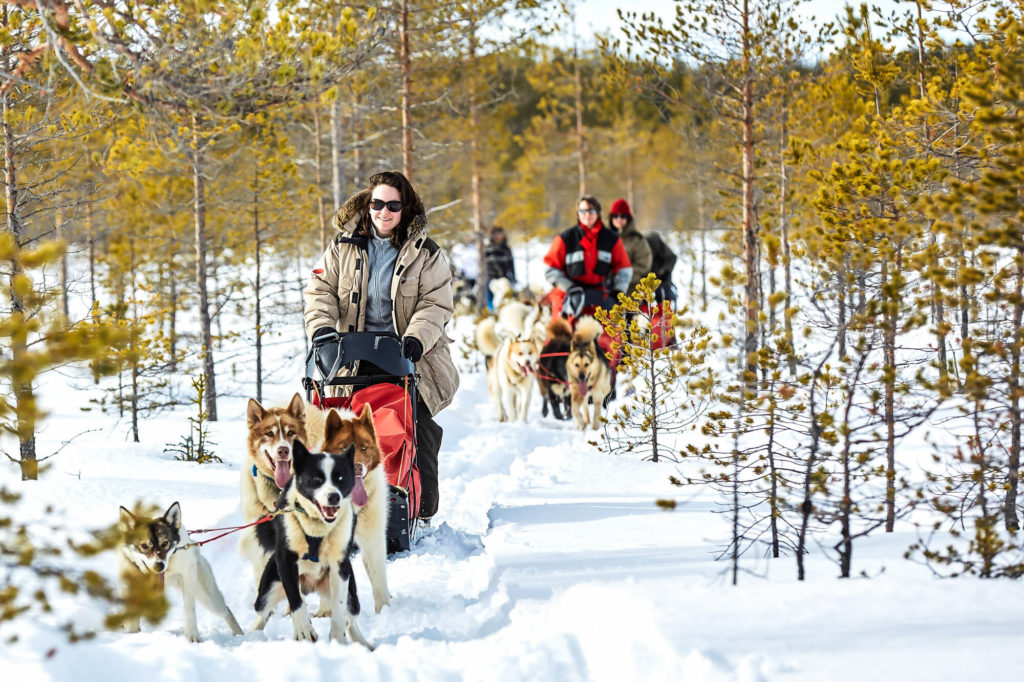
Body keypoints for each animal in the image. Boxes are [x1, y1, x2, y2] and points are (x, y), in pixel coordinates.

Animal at [118, 499, 244, 638]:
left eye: (165, 543)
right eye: (144, 546)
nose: (159, 565)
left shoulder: (187, 578)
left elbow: (189, 609)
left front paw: (192, 635)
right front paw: (131, 633)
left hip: (208, 597)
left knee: (226, 611)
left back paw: (239, 634)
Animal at [303, 401, 391, 614]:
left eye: (364, 447)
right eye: (343, 449)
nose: (357, 467)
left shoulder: (373, 539)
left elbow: (378, 579)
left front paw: (385, 610)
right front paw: (325, 612)